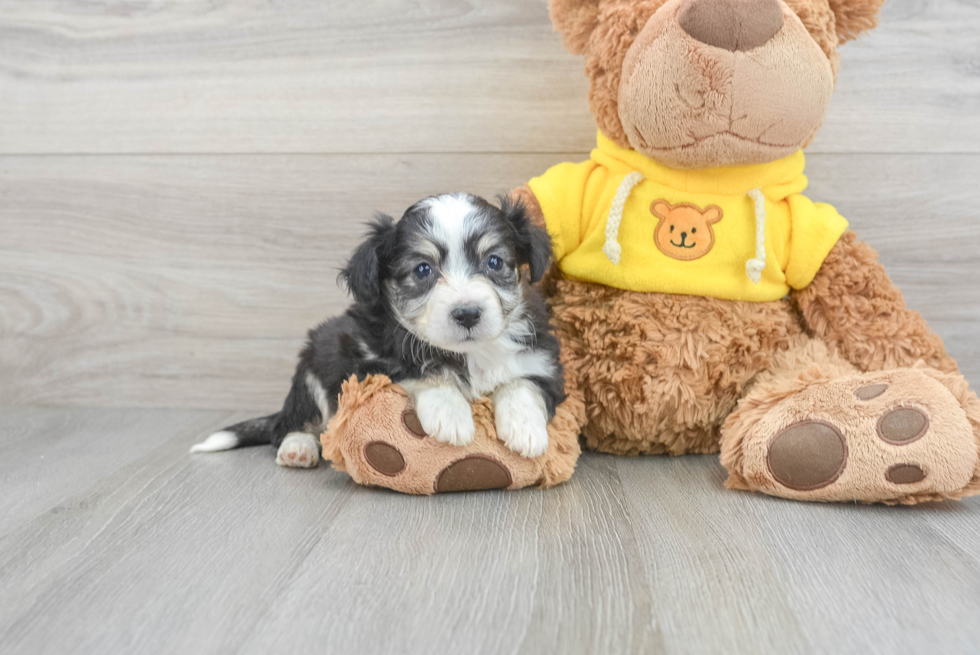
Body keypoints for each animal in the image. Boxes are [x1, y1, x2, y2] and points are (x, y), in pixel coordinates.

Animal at [190, 192, 564, 468]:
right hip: (314, 363)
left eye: (495, 262)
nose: (468, 313)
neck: (466, 354)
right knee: (291, 423)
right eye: (423, 269)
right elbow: (423, 371)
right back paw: (298, 447)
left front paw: (526, 429)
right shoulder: (371, 362)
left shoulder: (543, 362)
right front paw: (450, 413)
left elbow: (521, 383)